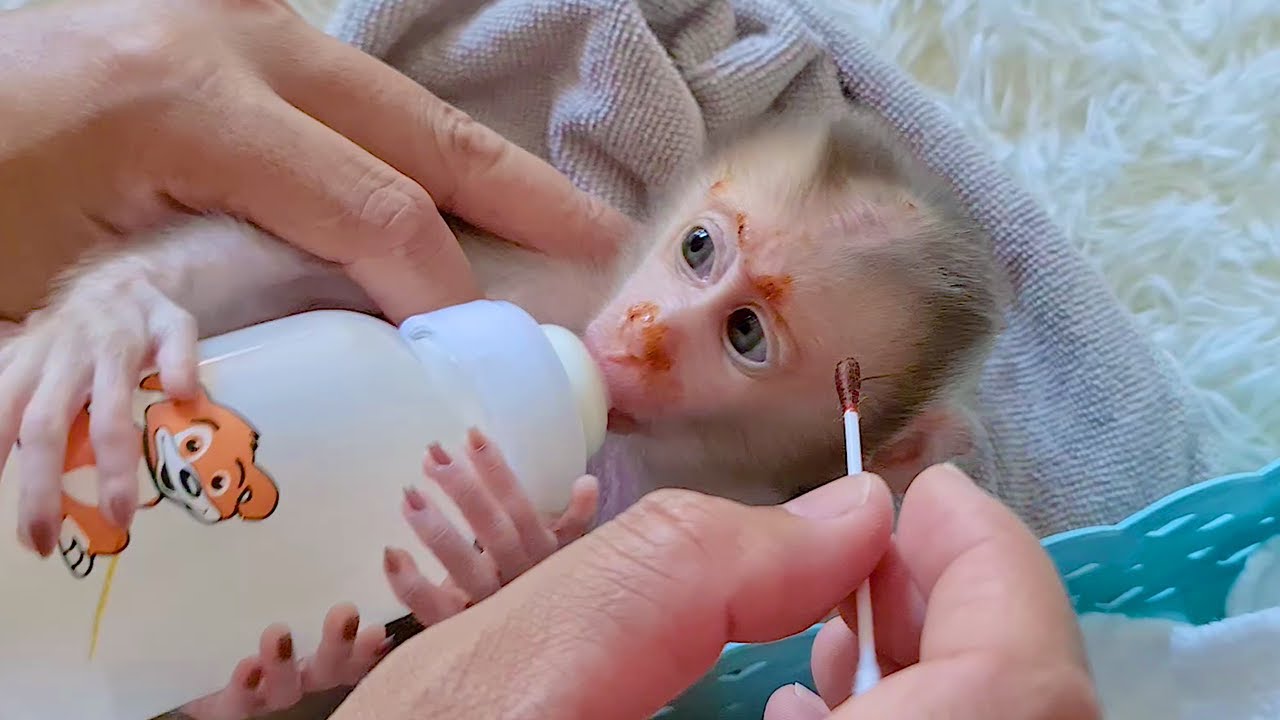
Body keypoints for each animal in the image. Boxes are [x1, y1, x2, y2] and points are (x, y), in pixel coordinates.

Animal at [0, 106, 1007, 718]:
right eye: (698, 248)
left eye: (745, 333)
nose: (636, 337)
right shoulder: (547, 288)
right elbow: (322, 272)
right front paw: (109, 320)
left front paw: (495, 540)